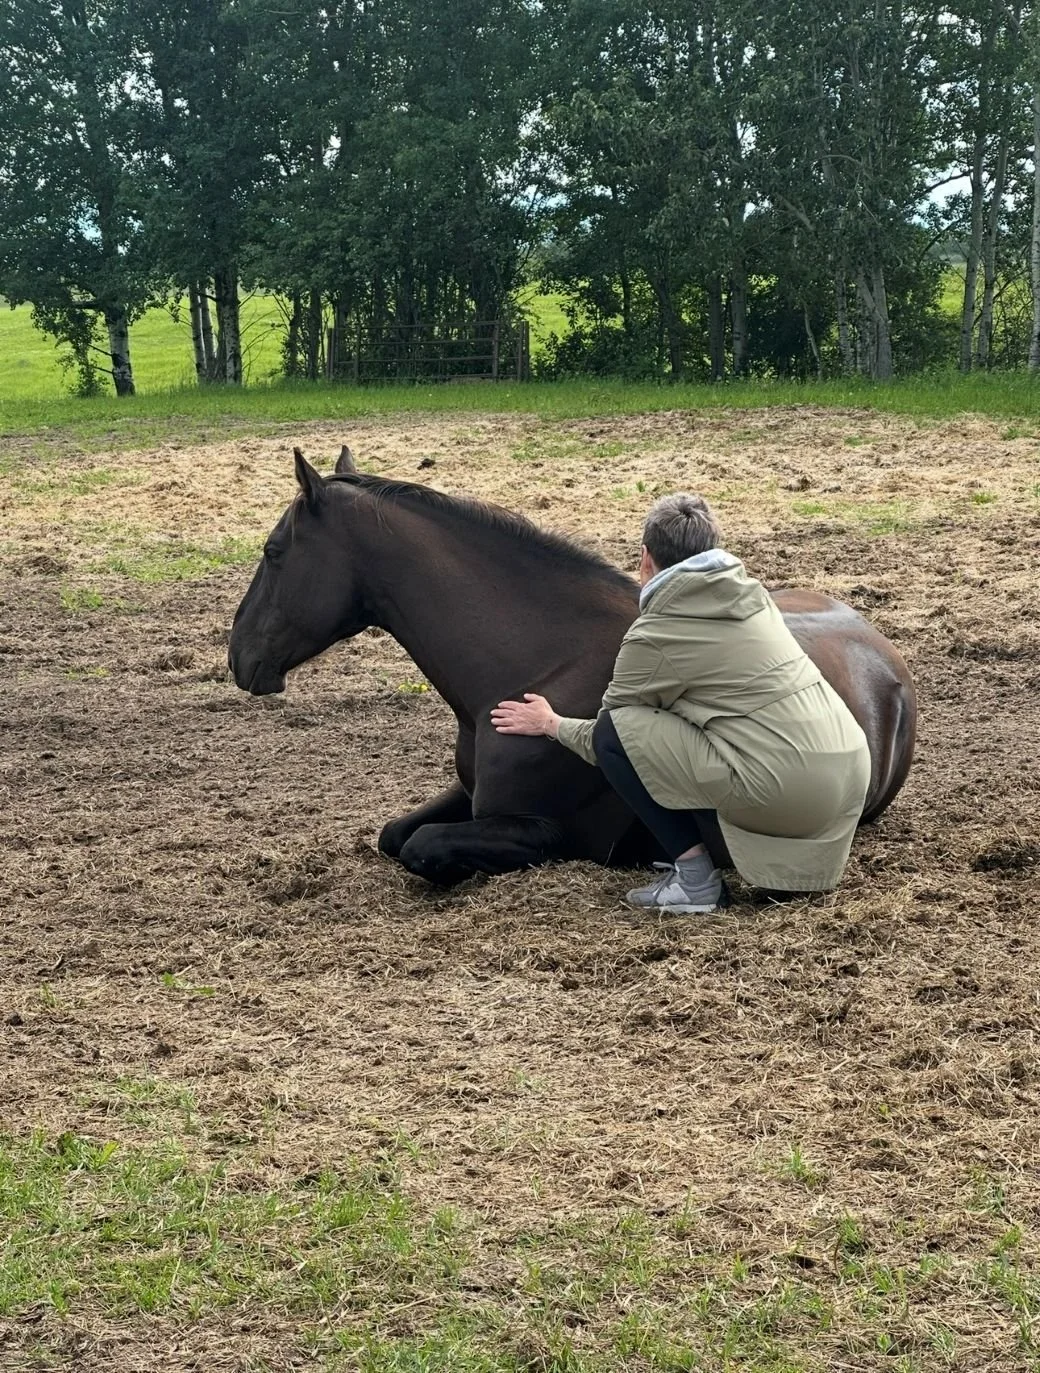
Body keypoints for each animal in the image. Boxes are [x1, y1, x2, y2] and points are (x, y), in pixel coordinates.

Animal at [228, 446, 917, 886]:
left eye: (274, 550)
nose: (238, 655)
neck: (540, 659)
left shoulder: (547, 831)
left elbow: (421, 848)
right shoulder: (471, 795)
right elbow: (395, 835)